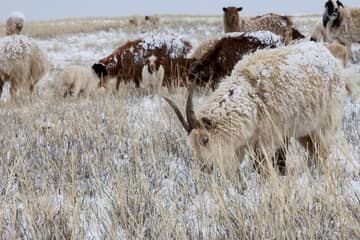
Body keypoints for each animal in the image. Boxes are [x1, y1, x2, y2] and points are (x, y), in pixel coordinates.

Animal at [165, 41, 346, 174]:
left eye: (205, 139)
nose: (205, 169)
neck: (251, 96)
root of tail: (330, 57)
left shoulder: (268, 139)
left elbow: (261, 166)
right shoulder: (242, 142)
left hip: (324, 124)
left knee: (322, 152)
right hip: (304, 131)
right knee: (313, 153)